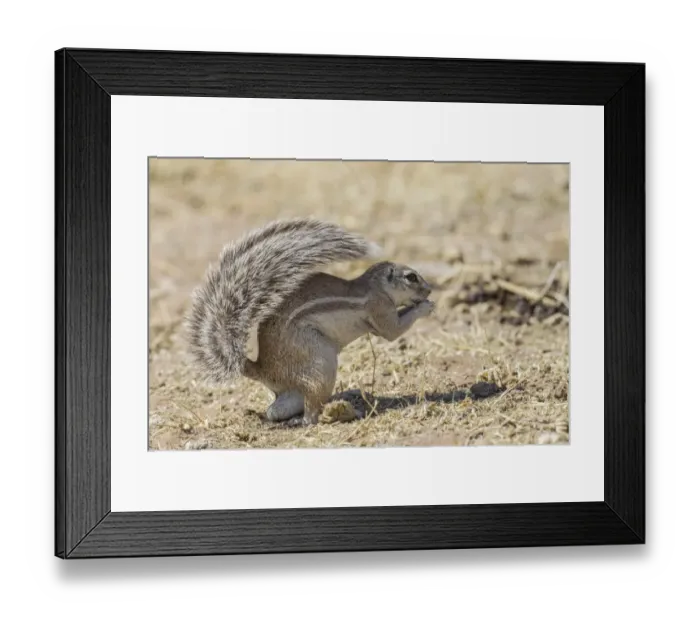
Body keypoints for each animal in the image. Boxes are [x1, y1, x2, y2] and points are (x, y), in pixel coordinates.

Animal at [186, 218, 434, 426]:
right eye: (411, 277)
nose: (429, 289)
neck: (375, 286)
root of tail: (263, 369)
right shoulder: (379, 308)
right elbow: (393, 331)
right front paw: (425, 307)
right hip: (319, 363)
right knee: (311, 412)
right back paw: (339, 414)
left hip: (294, 388)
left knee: (276, 410)